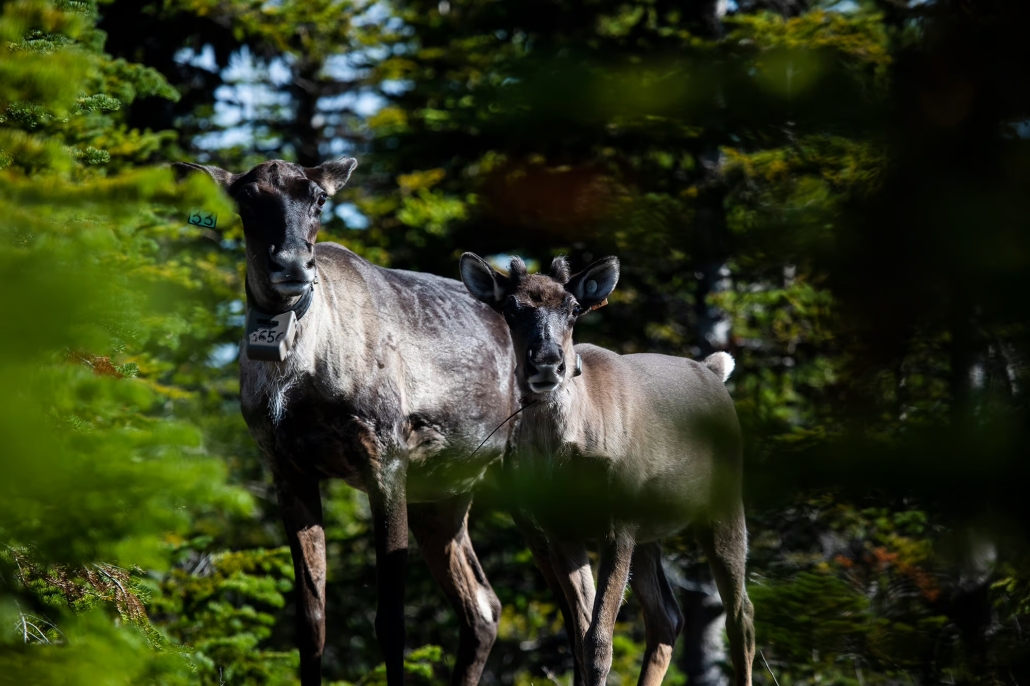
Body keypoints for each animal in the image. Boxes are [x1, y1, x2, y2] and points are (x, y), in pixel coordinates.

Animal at [459, 252, 758, 683]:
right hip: (651, 532)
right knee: (667, 618)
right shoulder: (560, 528)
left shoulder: (618, 520)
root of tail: (714, 370)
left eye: (573, 309)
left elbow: (599, 642)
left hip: (723, 502)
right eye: (511, 309)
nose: (548, 363)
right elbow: (582, 637)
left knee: (742, 616)